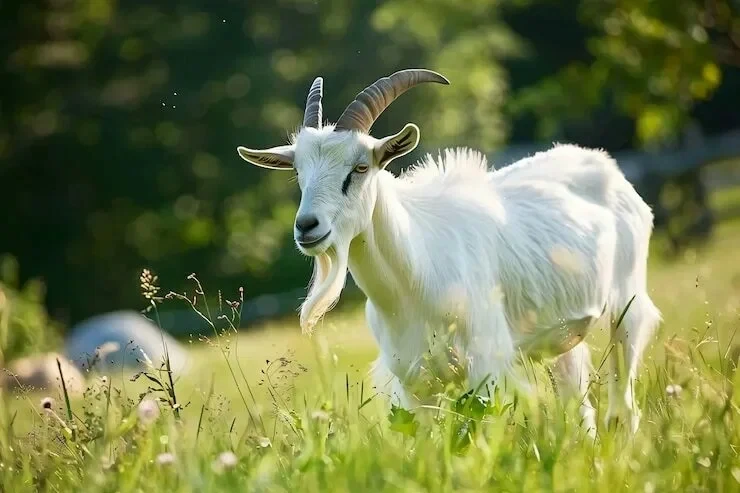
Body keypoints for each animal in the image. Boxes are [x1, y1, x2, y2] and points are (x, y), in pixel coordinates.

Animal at [236, 69, 662, 436]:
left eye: (359, 168)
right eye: (298, 173)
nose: (307, 226)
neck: (415, 276)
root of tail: (607, 166)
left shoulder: (486, 367)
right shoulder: (414, 384)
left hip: (627, 309)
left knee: (624, 405)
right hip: (559, 338)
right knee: (577, 401)